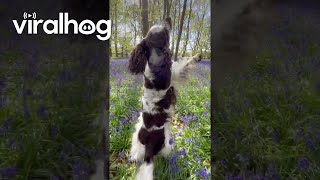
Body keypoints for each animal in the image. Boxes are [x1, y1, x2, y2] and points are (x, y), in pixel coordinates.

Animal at [127, 17, 200, 180]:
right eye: (164, 31)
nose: (168, 18)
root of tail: (149, 143)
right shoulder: (175, 74)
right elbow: (185, 65)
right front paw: (197, 56)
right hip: (168, 144)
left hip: (137, 134)